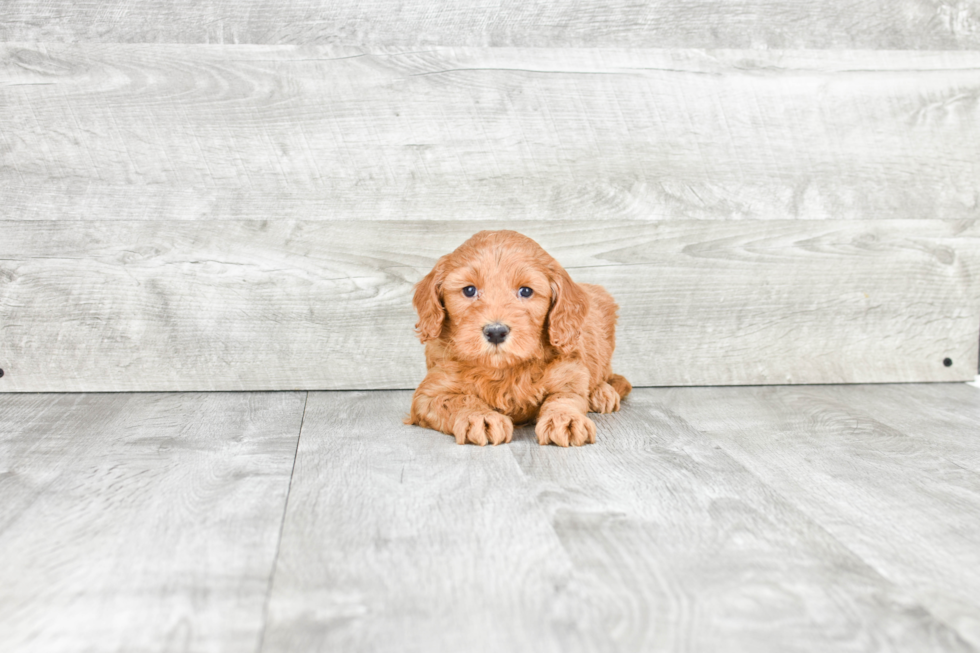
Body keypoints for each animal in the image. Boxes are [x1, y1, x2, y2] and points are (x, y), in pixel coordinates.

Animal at [404, 227, 628, 446]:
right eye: (469, 290)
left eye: (526, 291)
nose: (495, 332)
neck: (503, 369)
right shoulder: (430, 392)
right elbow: (457, 400)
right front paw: (481, 417)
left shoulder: (569, 372)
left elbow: (565, 397)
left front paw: (566, 419)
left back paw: (602, 392)